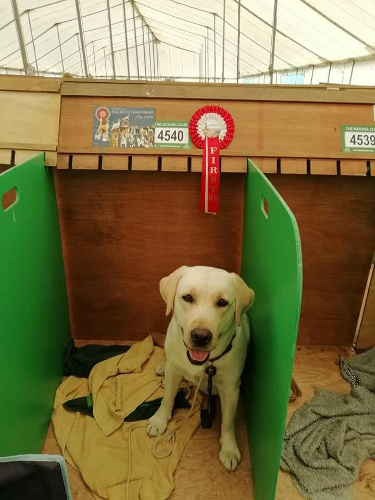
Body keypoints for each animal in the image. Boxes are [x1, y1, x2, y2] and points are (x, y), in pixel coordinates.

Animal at [148, 268, 256, 470]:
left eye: (222, 302)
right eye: (188, 297)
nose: (200, 336)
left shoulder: (231, 389)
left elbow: (228, 422)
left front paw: (229, 448)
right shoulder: (174, 372)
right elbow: (167, 399)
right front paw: (159, 420)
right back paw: (162, 368)